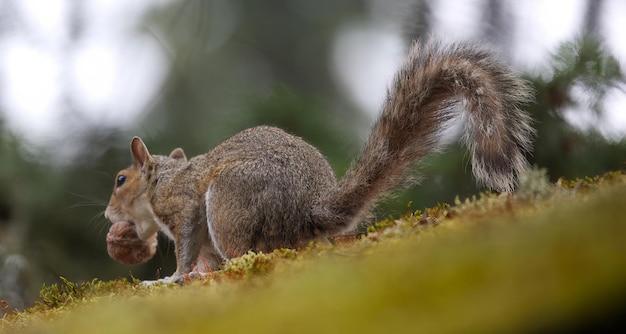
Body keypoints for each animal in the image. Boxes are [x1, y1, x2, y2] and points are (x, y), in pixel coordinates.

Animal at [102, 40, 532, 284]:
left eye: (120, 180)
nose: (107, 215)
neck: (163, 180)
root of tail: (306, 211)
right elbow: (203, 257)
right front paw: (192, 274)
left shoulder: (185, 208)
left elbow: (188, 247)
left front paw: (173, 277)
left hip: (228, 201)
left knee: (246, 252)